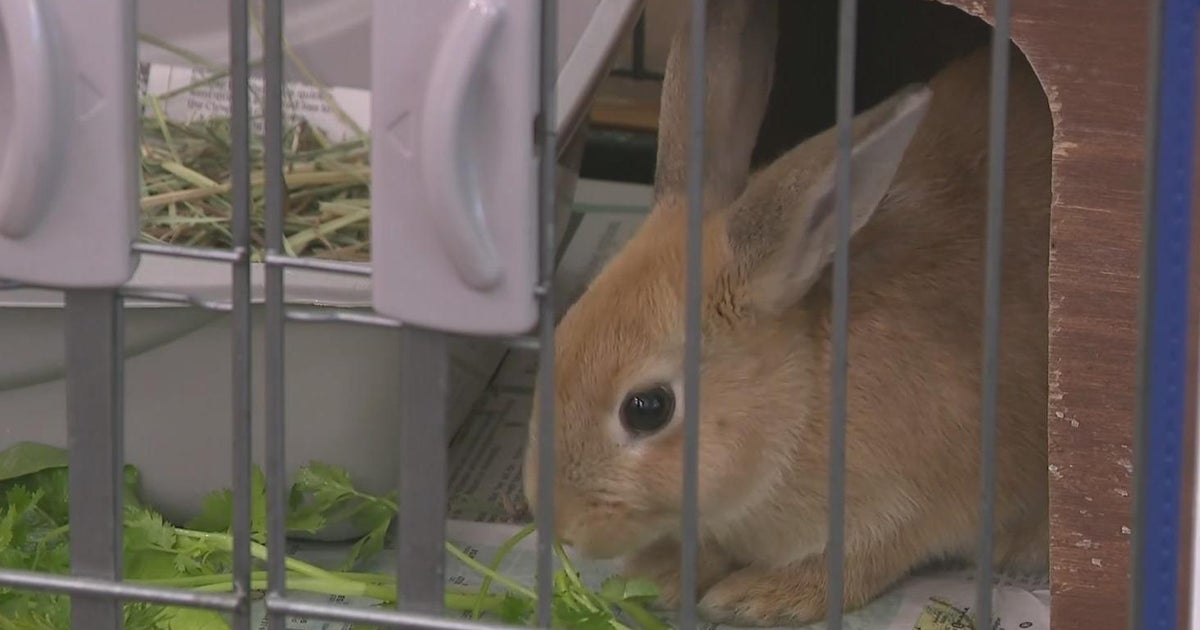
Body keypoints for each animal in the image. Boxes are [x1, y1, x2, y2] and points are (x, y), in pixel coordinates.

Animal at [522, 3, 1051, 625]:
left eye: (647, 408)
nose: (557, 520)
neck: (800, 400)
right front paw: (661, 574)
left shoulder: (906, 508)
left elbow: (855, 563)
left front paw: (758, 596)